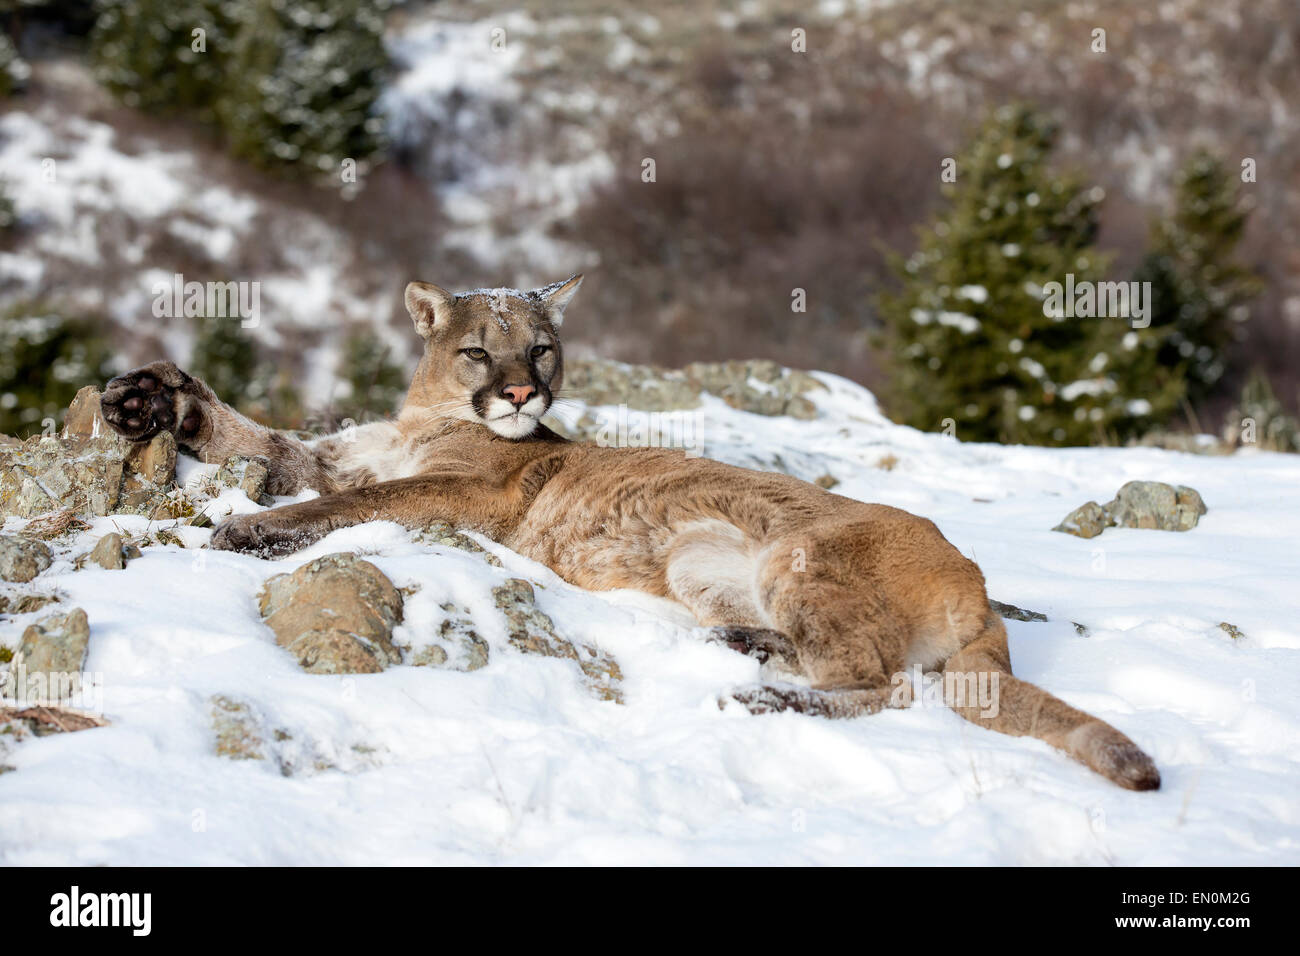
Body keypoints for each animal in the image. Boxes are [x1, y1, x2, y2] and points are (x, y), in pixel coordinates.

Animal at [101, 274, 1159, 790]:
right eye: (480, 350)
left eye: (544, 349)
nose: (521, 393)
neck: (424, 419)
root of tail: (976, 585)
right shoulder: (332, 455)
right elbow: (260, 439)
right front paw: (147, 396)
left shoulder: (460, 498)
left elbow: (340, 508)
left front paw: (251, 531)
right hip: (703, 560)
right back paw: (749, 646)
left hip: (802, 555)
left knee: (886, 684)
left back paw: (775, 696)